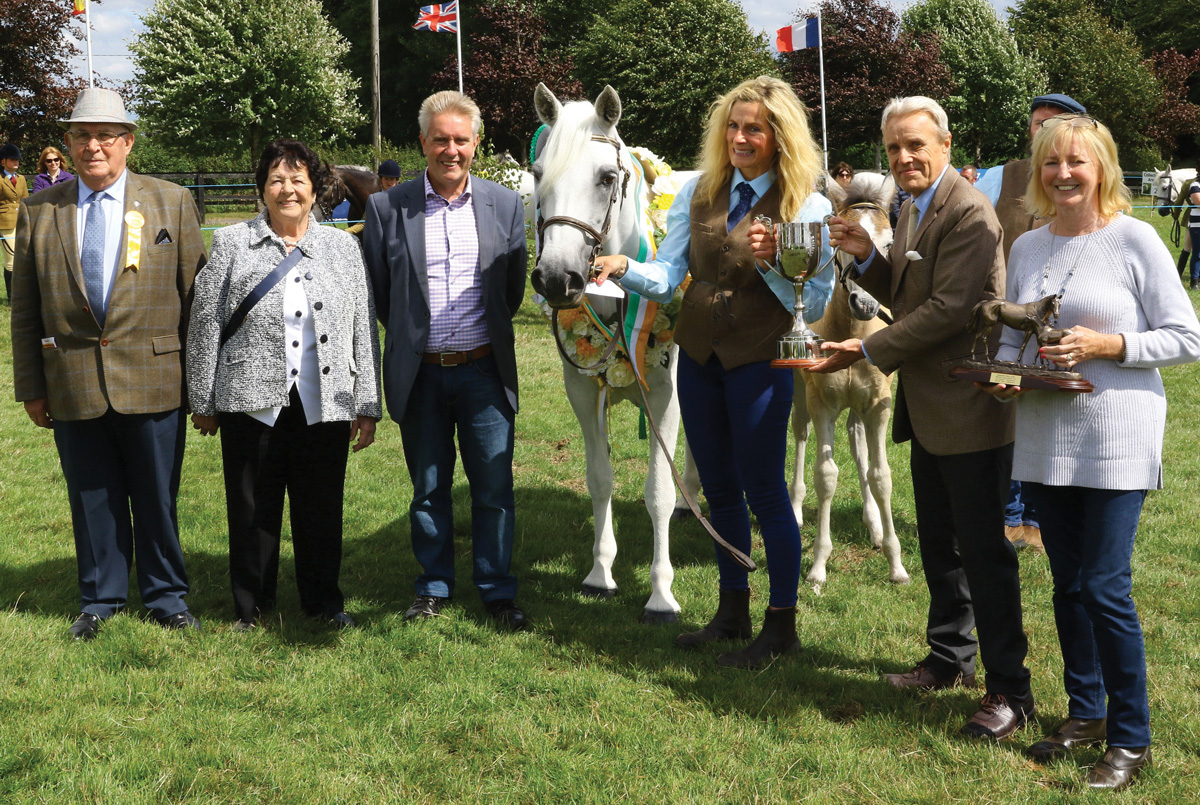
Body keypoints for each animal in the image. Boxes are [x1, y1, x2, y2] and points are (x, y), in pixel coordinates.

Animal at [525, 81, 696, 623]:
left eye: (606, 177)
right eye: (538, 174)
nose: (557, 278)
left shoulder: (665, 396)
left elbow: (658, 492)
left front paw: (661, 595)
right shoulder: (583, 393)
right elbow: (599, 480)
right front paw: (600, 573)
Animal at [787, 179, 907, 587]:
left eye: (889, 240)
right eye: (839, 239)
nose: (865, 304)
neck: (851, 332)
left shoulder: (878, 405)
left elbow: (880, 474)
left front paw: (896, 563)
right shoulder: (821, 403)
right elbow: (826, 476)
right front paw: (818, 566)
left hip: (858, 406)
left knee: (857, 444)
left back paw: (874, 526)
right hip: (800, 391)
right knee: (801, 435)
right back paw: (794, 509)